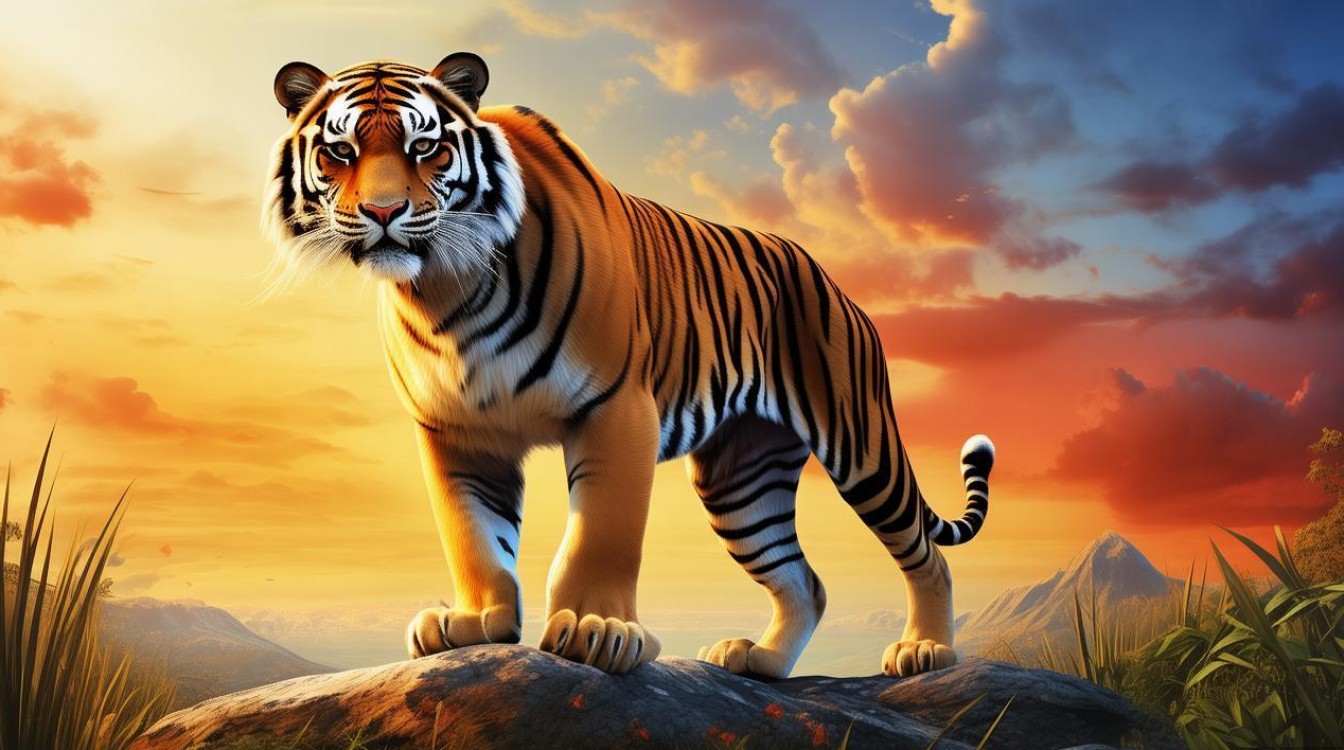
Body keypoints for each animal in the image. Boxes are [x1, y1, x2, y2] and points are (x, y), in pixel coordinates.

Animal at [263, 52, 995, 679]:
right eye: (339, 152)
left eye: (425, 148)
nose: (384, 212)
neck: (447, 289)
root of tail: (828, 276)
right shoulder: (458, 431)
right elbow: (472, 535)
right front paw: (475, 621)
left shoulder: (614, 407)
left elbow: (600, 532)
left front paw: (596, 630)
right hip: (742, 478)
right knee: (804, 581)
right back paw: (759, 660)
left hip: (858, 440)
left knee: (925, 553)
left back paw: (926, 650)